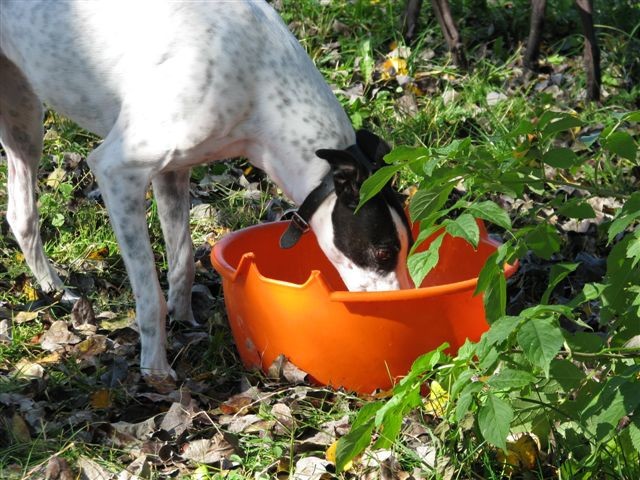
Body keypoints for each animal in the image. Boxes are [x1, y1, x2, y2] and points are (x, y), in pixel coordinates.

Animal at [0, 1, 410, 380]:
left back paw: (55, 291)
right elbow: (149, 294)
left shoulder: (173, 171)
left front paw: (184, 322)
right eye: (383, 251)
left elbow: (182, 261)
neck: (259, 80)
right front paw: (155, 369)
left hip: (23, 117)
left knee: (21, 216)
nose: (404, 302)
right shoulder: (118, 170)